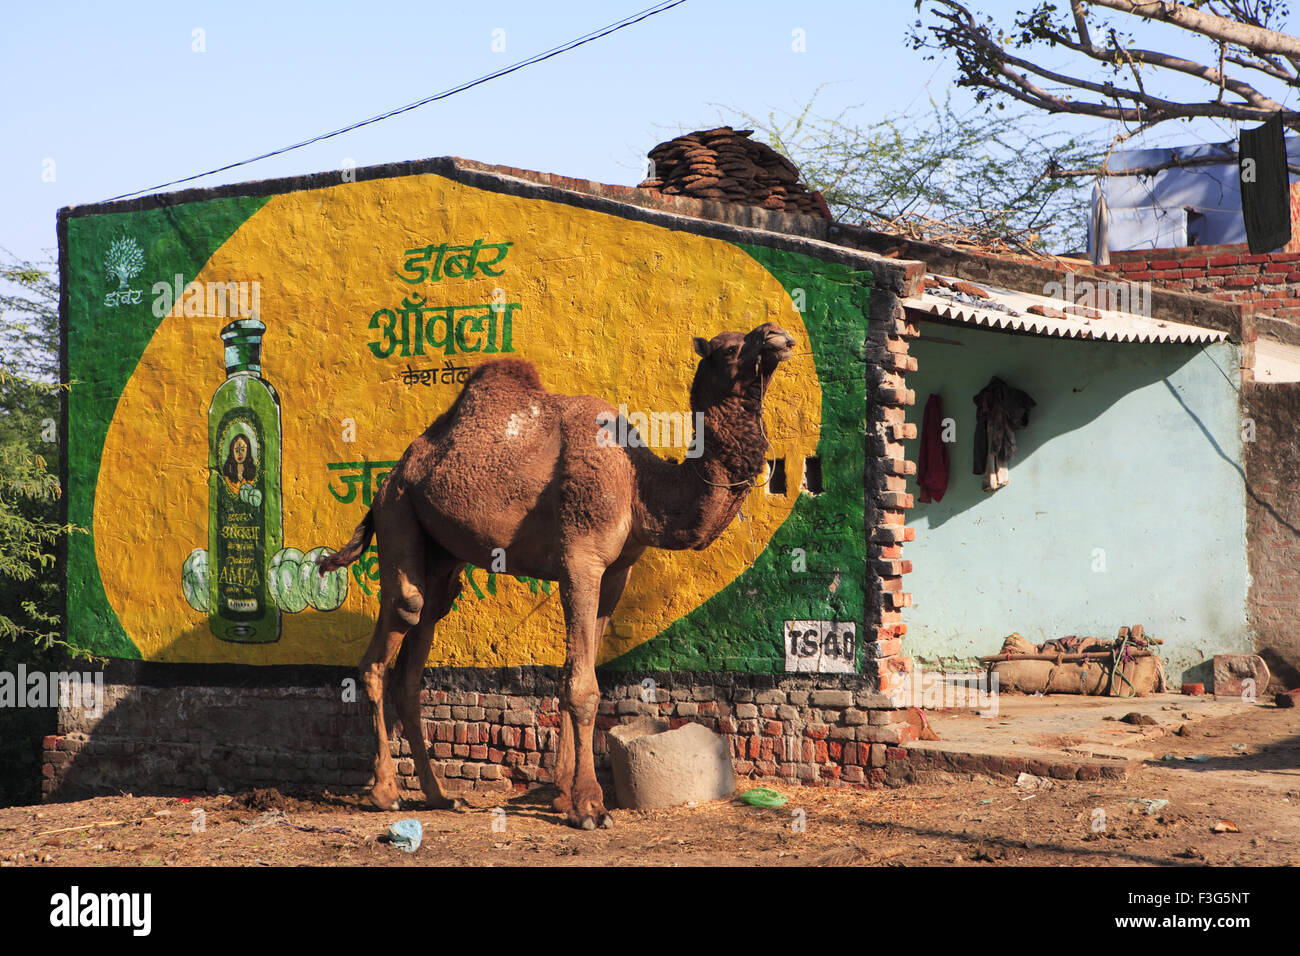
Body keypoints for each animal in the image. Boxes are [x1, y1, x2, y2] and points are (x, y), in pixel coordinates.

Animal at [319, 323, 795, 832]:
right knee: (392, 632)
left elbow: (574, 673)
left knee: (419, 647)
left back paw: (439, 795)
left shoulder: (617, 573)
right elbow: (583, 688)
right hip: (398, 510)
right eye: (728, 348)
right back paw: (386, 793)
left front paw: (564, 798)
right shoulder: (580, 559)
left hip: (441, 551)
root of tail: (391, 475)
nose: (778, 336)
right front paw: (589, 806)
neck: (639, 486)